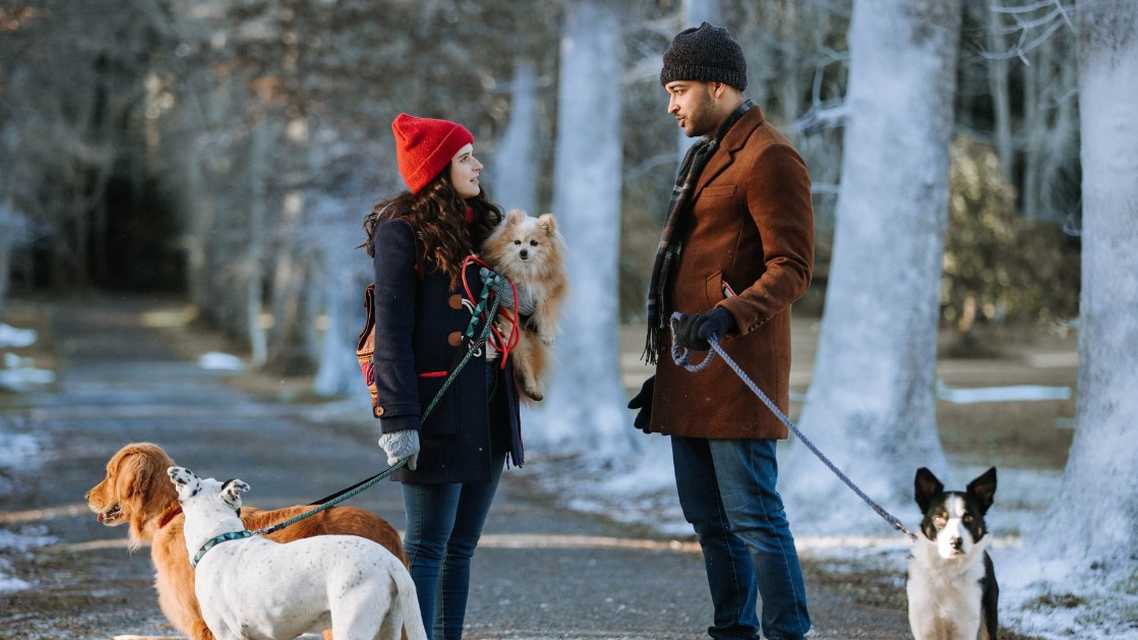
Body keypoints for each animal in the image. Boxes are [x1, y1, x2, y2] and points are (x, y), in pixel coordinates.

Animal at [482, 208, 566, 398]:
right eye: (517, 242)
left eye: (534, 243)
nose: (523, 252)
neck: (527, 271)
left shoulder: (551, 289)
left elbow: (546, 310)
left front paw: (547, 335)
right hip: (519, 341)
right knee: (524, 360)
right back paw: (531, 386)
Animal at [905, 466, 996, 637]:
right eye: (939, 518)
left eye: (969, 518)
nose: (956, 542)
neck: (946, 571)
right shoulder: (924, 624)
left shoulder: (965, 627)